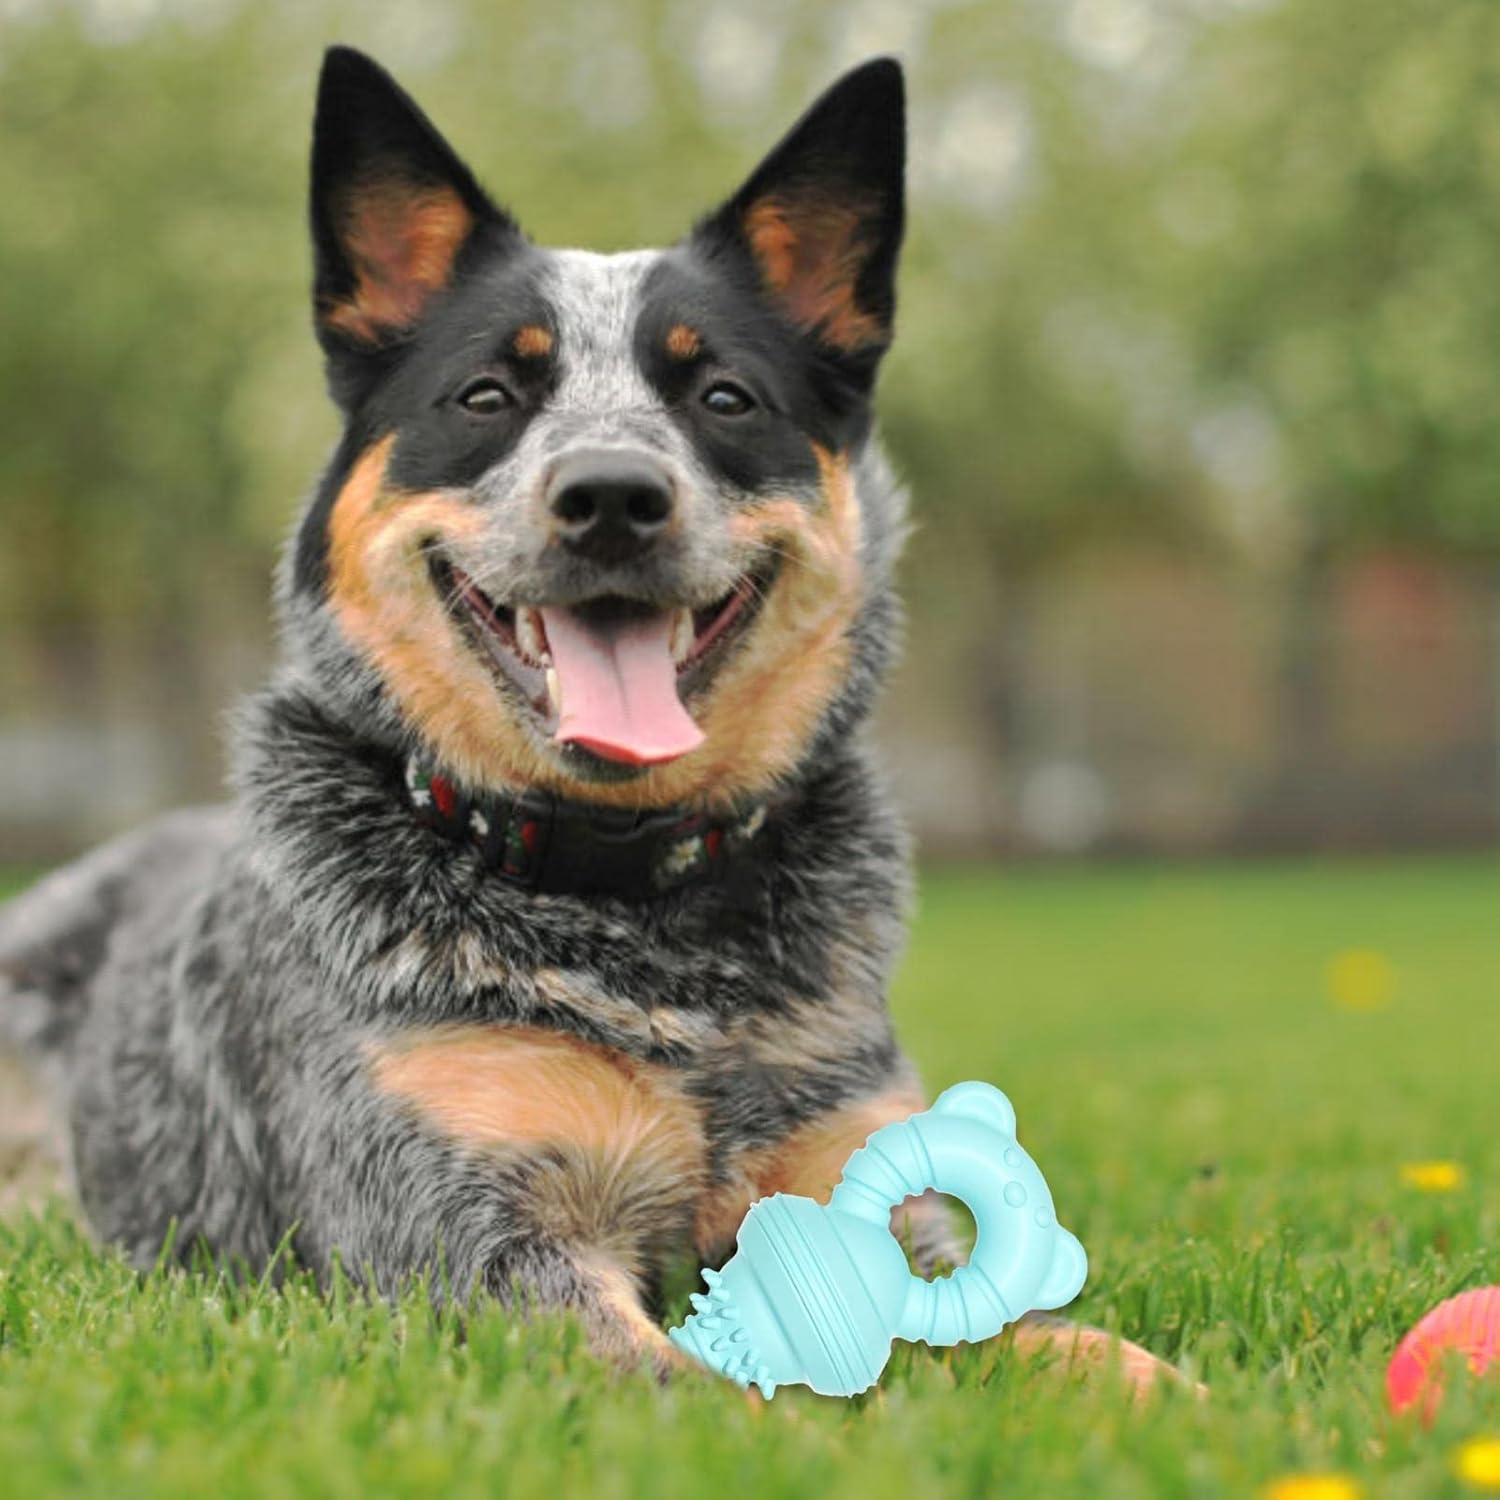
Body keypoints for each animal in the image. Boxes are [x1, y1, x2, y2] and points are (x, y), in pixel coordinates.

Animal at [0, 47, 1184, 1395]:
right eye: (485, 394)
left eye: (723, 394)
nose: (612, 493)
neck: (640, 924)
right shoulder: (470, 1243)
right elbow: (711, 1399)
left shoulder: (867, 1178)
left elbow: (1060, 1338)